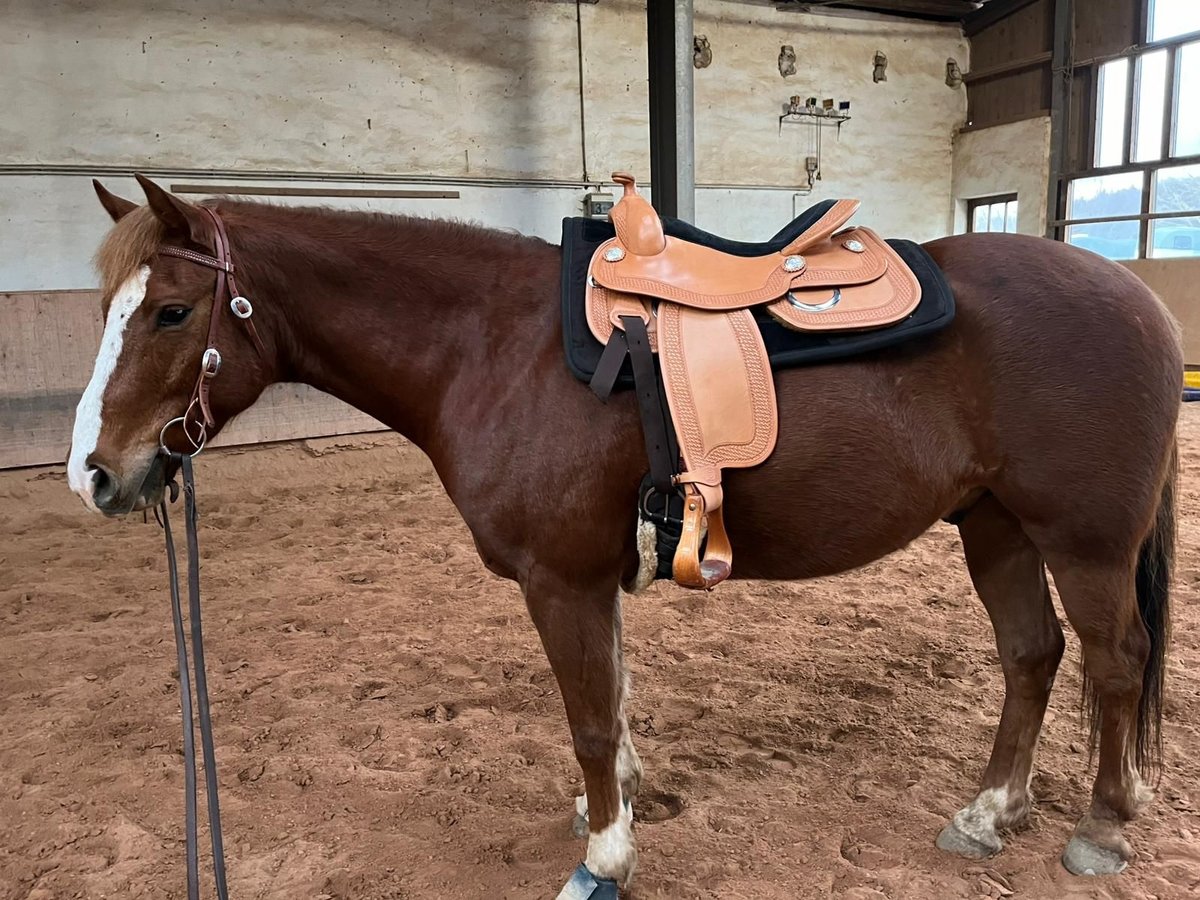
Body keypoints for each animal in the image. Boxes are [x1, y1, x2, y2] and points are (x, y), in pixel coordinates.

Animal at [67, 175, 1180, 895]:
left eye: (171, 313)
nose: (96, 474)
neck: (494, 345)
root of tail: (1139, 298)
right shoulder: (591, 578)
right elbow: (615, 692)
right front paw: (624, 807)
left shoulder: (558, 579)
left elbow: (590, 717)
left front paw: (605, 855)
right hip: (998, 528)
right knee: (1032, 655)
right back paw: (990, 813)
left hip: (1083, 541)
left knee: (1115, 662)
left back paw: (1101, 829)